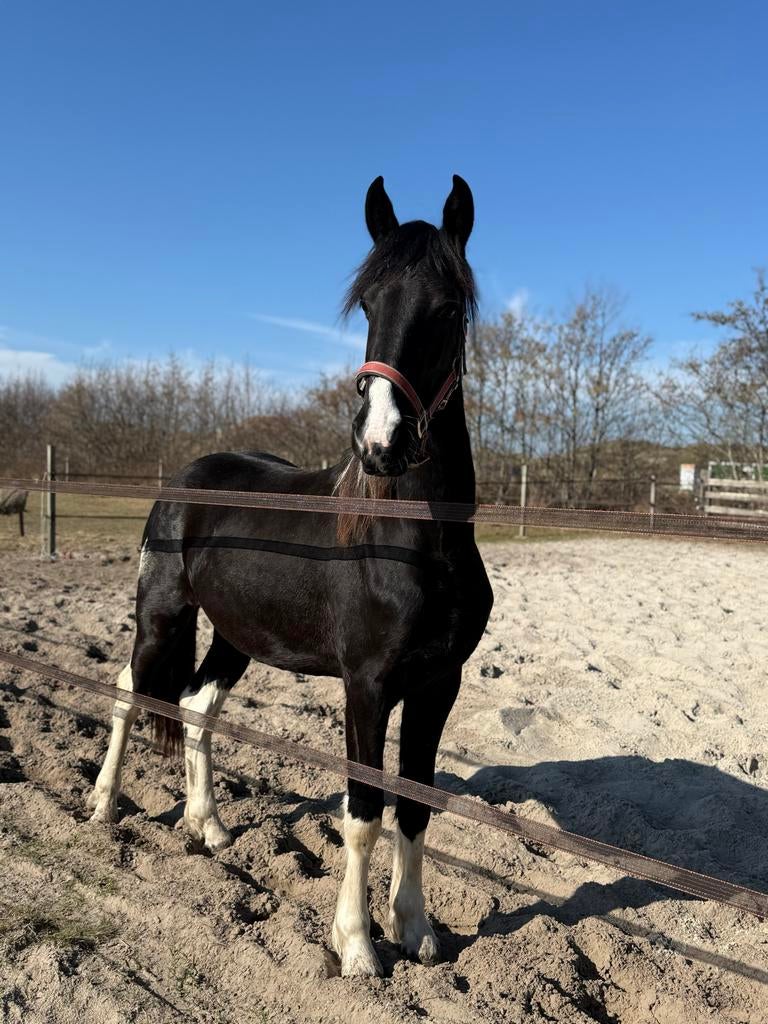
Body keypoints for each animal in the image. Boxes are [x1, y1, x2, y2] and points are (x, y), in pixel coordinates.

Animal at [86, 175, 493, 977]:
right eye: (368, 304)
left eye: (447, 308)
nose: (379, 442)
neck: (414, 543)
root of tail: (184, 478)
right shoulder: (367, 685)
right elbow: (362, 812)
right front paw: (358, 947)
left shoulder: (439, 683)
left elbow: (414, 805)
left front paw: (417, 931)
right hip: (162, 614)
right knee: (127, 690)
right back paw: (105, 807)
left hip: (234, 635)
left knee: (195, 706)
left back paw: (209, 827)